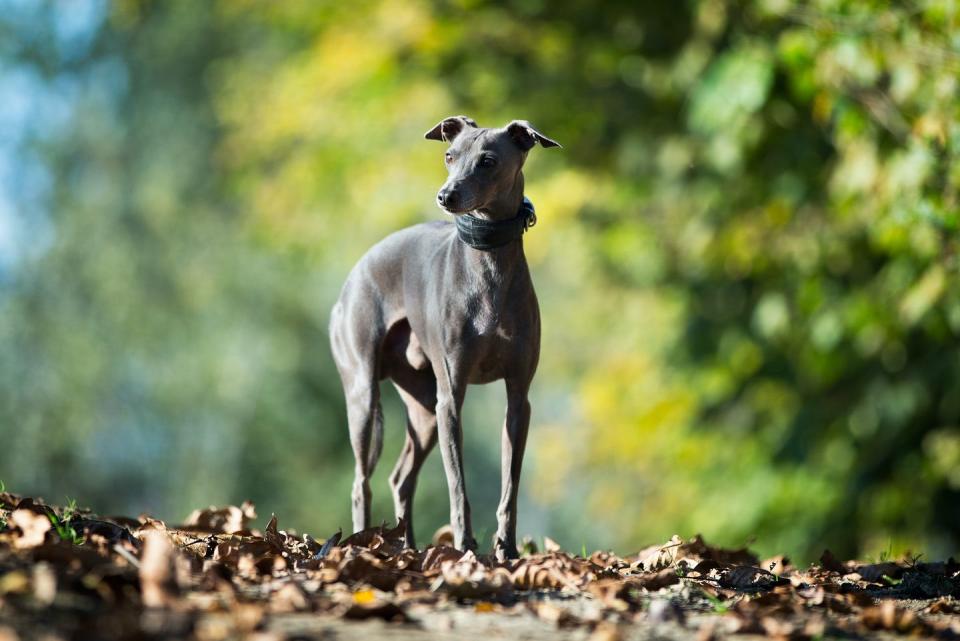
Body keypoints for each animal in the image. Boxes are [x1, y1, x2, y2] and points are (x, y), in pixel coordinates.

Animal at [330, 116, 560, 560]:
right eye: (449, 156)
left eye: (488, 161)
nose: (445, 195)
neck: (488, 263)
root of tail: (350, 280)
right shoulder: (451, 397)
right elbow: (458, 484)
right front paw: (465, 544)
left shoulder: (518, 398)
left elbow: (510, 485)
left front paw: (507, 548)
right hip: (365, 395)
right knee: (360, 483)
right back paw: (362, 543)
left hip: (422, 411)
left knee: (400, 478)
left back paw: (406, 547)